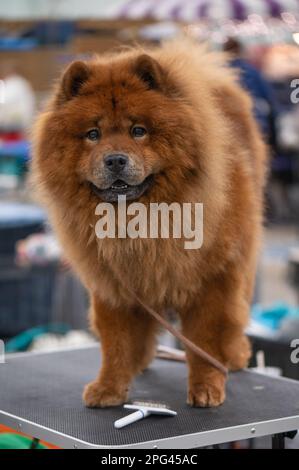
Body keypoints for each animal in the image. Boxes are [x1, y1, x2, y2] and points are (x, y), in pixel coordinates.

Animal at [31, 40, 268, 406]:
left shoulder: (211, 282)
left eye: (138, 131)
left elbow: (204, 340)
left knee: (236, 317)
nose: (115, 159)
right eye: (93, 134)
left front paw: (206, 387)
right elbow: (115, 344)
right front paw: (109, 388)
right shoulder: (113, 286)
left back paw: (235, 357)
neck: (141, 223)